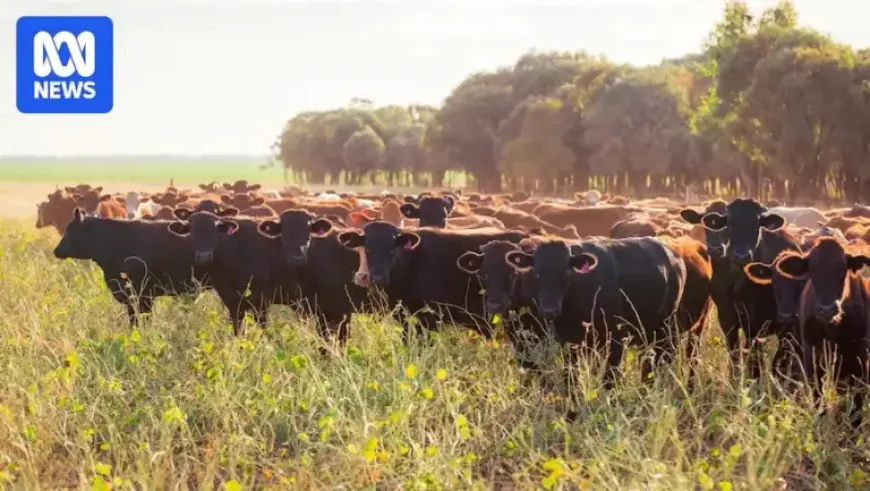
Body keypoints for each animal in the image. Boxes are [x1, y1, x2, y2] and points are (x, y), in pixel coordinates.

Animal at [776, 238, 870, 429]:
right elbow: (817, 397)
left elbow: (857, 403)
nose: (827, 309)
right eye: (812, 270)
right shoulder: (811, 357)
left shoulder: (861, 360)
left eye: (843, 268)